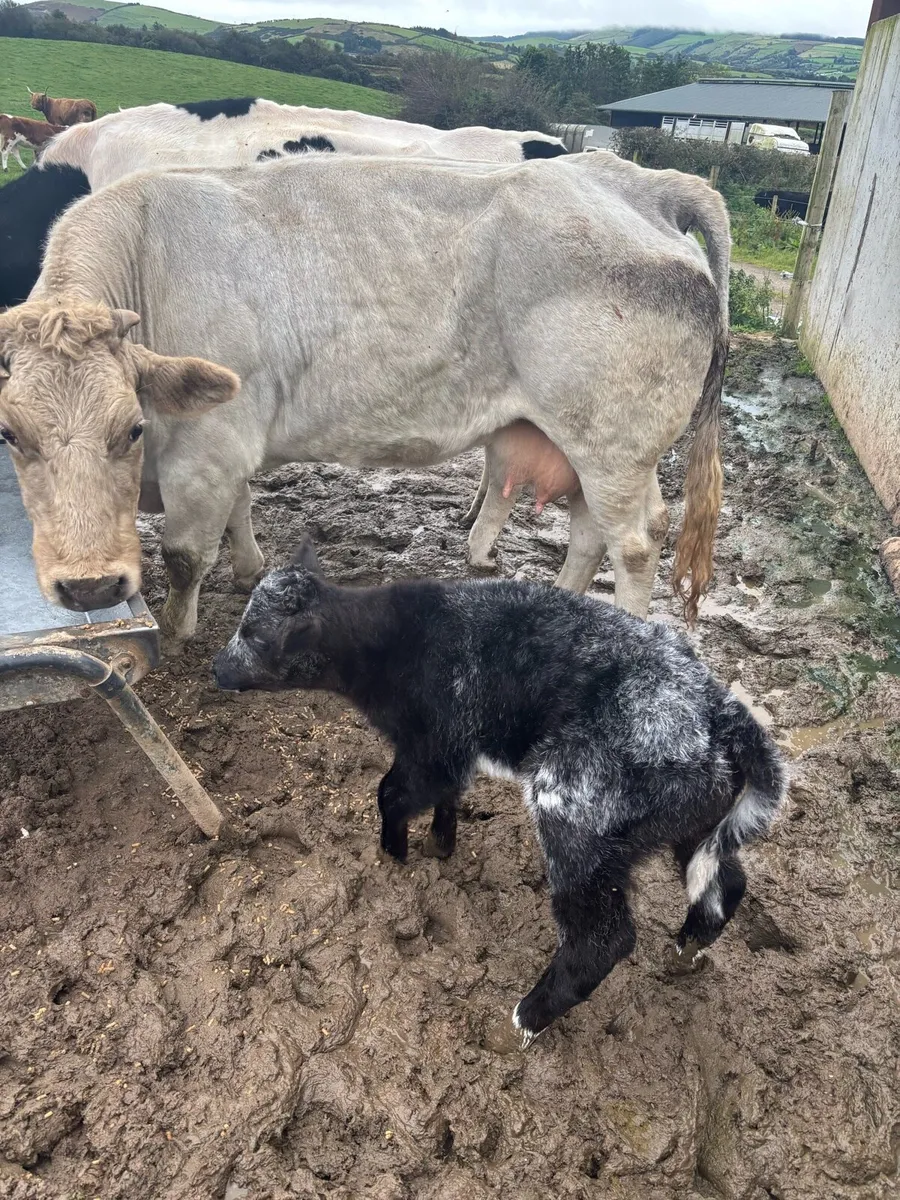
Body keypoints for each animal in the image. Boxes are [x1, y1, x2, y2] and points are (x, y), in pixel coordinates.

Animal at [0, 152, 727, 645]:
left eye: (131, 429)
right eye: (10, 434)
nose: (89, 586)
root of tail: (637, 182)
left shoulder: (207, 447)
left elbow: (184, 556)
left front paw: (179, 632)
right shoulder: (228, 443)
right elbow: (239, 509)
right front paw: (249, 569)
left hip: (614, 443)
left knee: (635, 542)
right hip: (582, 443)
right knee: (590, 530)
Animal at [213, 538, 786, 1048]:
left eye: (255, 635)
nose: (216, 667)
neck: (392, 644)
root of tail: (721, 708)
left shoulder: (434, 742)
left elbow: (391, 794)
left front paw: (394, 856)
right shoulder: (448, 752)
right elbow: (444, 795)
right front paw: (440, 844)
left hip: (575, 809)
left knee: (603, 938)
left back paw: (523, 1021)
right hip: (694, 819)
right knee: (724, 883)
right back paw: (685, 953)